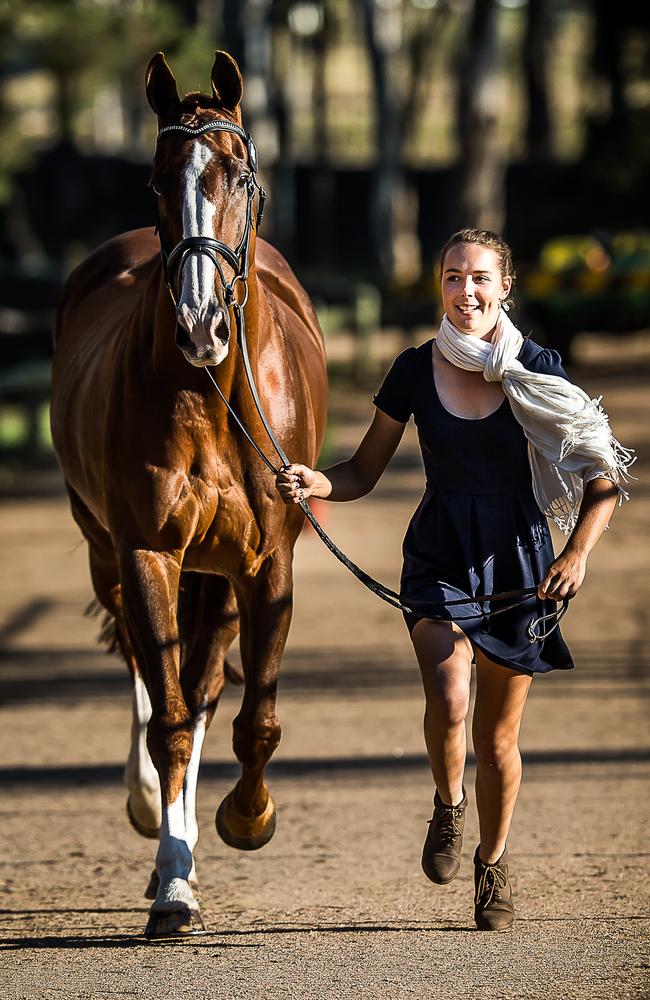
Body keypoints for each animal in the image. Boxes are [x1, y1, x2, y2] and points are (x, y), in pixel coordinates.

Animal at [49, 50, 330, 932]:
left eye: (238, 174)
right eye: (155, 178)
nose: (200, 324)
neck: (210, 396)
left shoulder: (267, 566)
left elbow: (252, 720)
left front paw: (247, 817)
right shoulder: (147, 553)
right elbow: (168, 716)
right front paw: (173, 881)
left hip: (221, 579)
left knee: (205, 687)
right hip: (110, 555)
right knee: (154, 682)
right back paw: (158, 823)